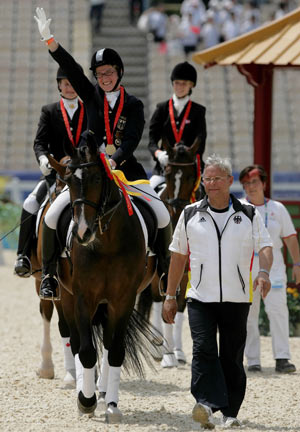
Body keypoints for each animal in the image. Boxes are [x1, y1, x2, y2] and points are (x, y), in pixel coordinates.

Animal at [47, 134, 156, 422]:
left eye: (97, 178)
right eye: (69, 181)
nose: (82, 232)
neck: (106, 241)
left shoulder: (123, 299)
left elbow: (115, 350)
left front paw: (112, 405)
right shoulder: (83, 298)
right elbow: (85, 350)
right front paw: (86, 401)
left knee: (107, 344)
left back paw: (105, 391)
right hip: (66, 299)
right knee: (75, 341)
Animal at [138, 138, 202, 368]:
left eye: (191, 176)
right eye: (167, 173)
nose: (176, 209)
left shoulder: (186, 272)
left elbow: (180, 307)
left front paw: (179, 352)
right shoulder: (163, 269)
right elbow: (163, 303)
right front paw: (167, 355)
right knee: (155, 299)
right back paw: (157, 345)